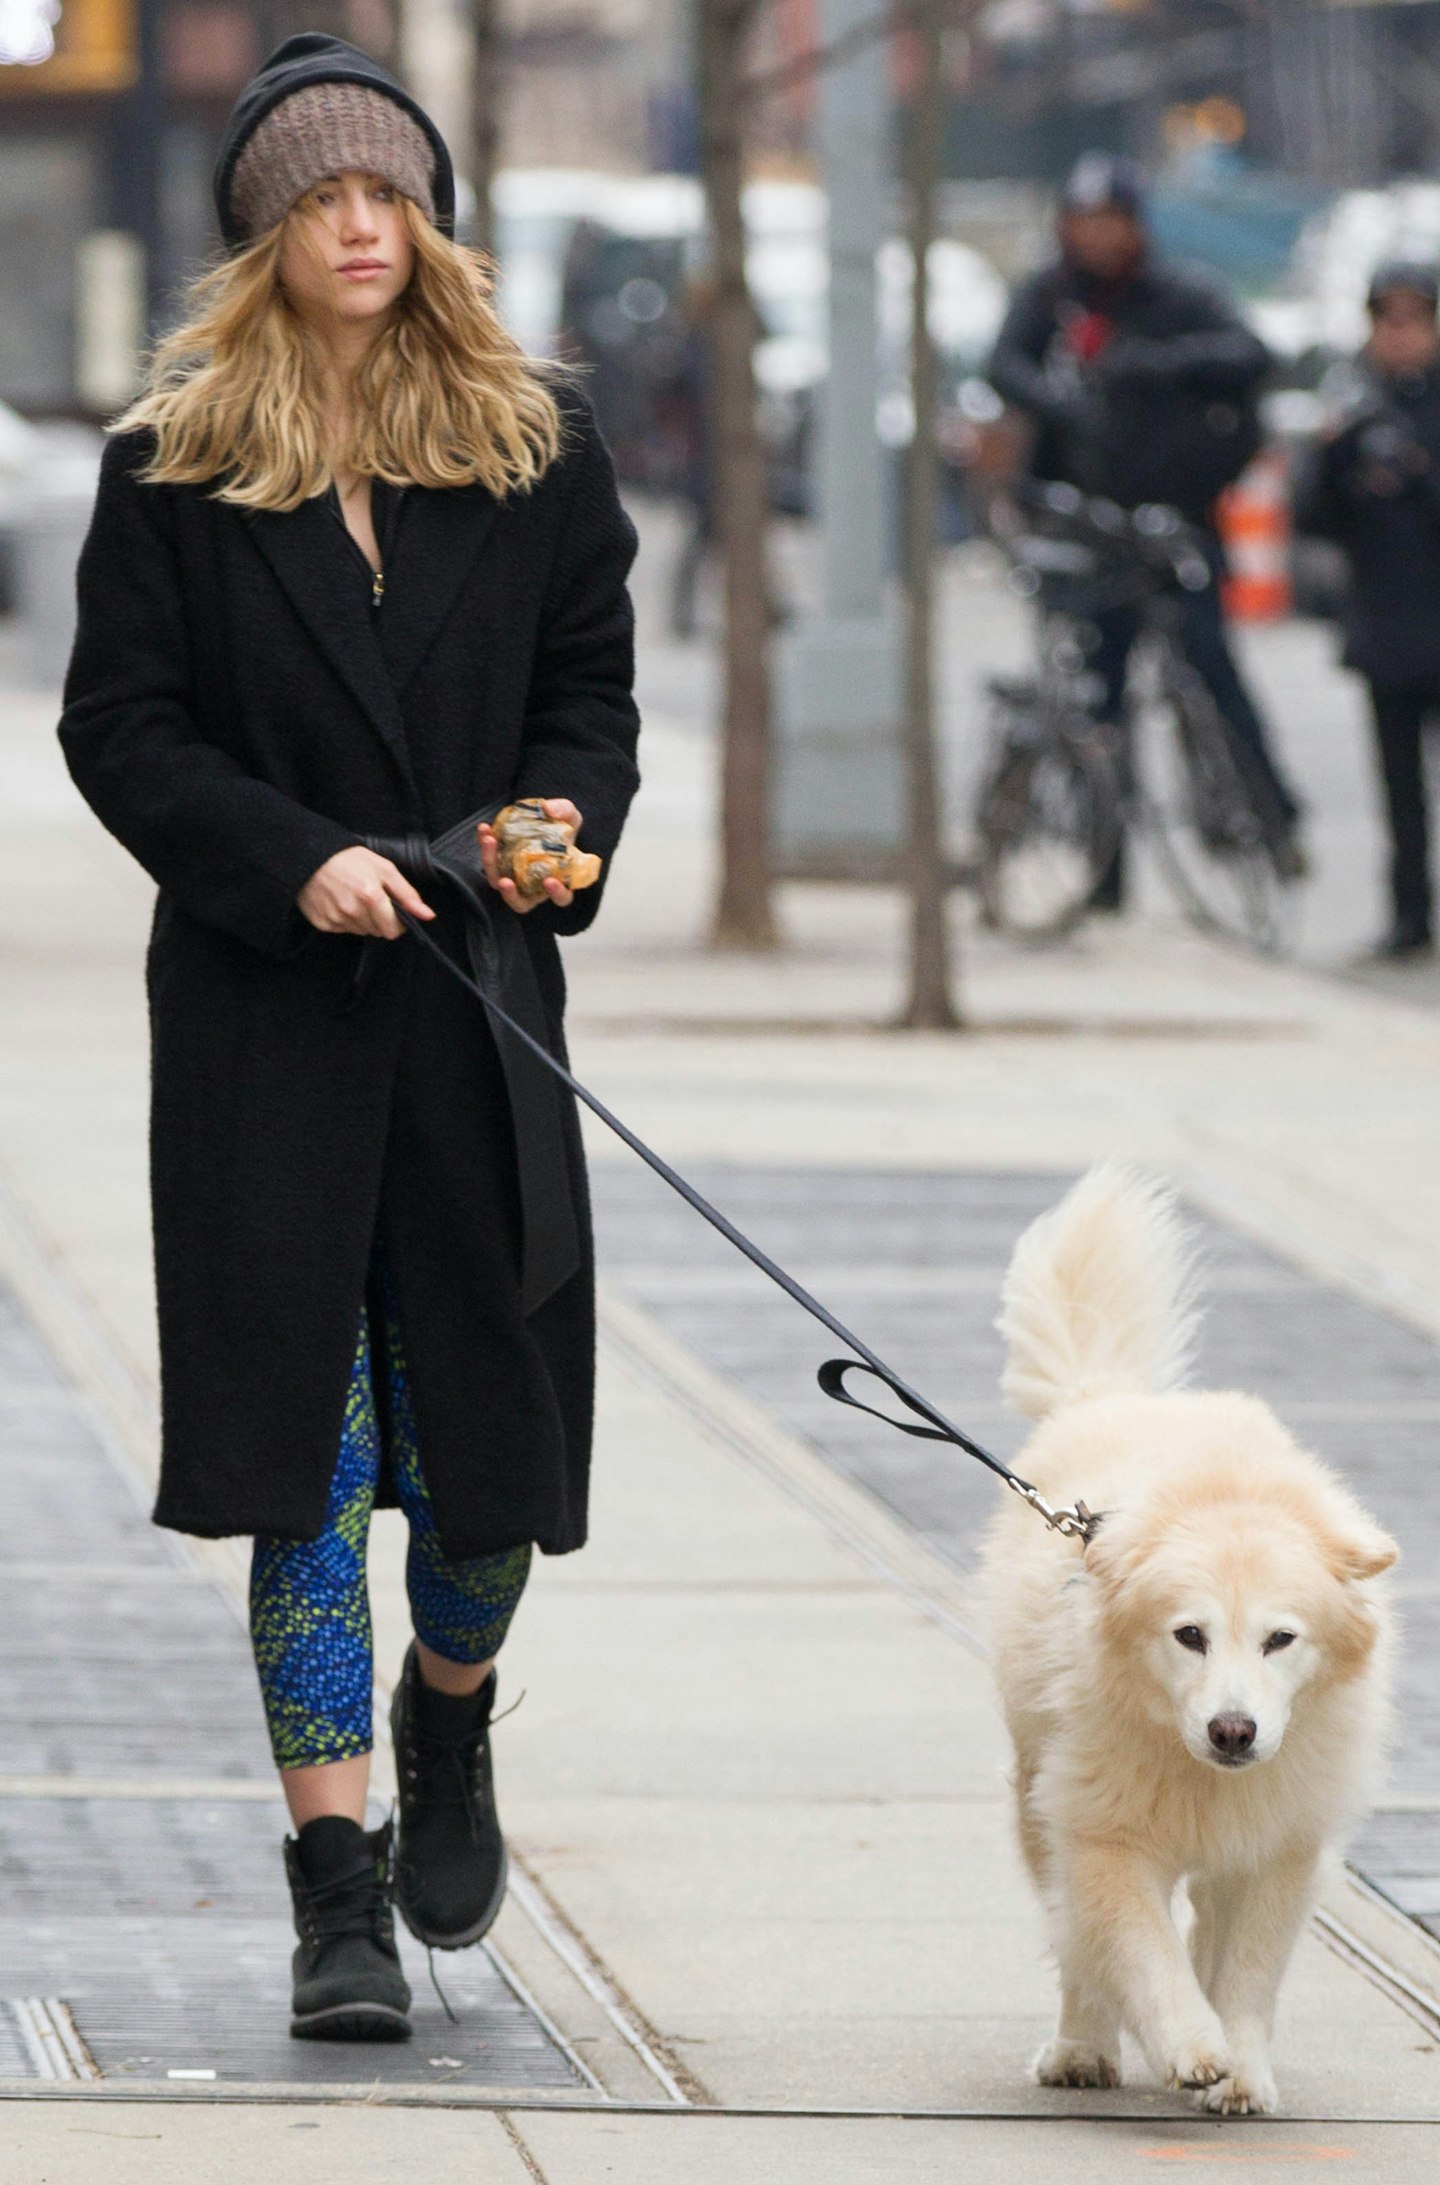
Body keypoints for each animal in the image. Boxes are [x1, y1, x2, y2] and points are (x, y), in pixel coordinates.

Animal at [987, 1162, 1398, 2115]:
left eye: (1281, 1638)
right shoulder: (1102, 1831)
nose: (1233, 1731)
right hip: (1038, 1793)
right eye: (1189, 1634)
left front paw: (1239, 2067)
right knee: (1077, 1941)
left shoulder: (1279, 1845)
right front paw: (1190, 2046)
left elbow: (1245, 1966)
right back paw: (1082, 2049)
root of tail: (1107, 1395)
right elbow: (1139, 1946)